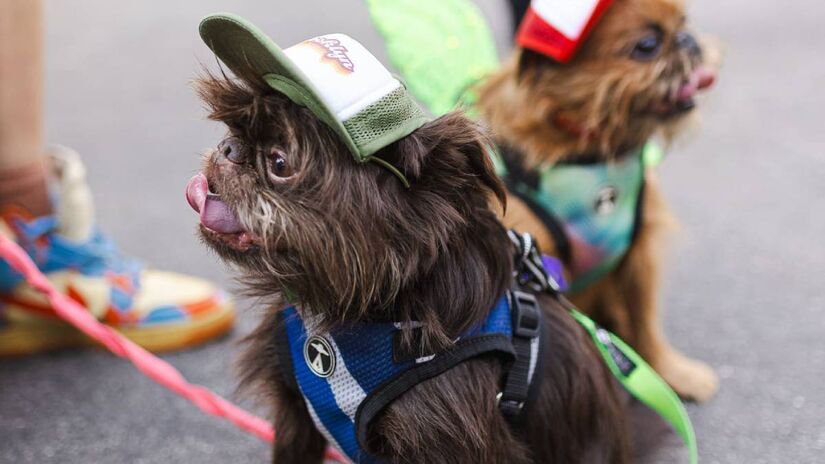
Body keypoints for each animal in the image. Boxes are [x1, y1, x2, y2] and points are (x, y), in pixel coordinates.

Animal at [476, 0, 720, 400]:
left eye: (685, 21)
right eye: (647, 46)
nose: (687, 39)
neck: (590, 146)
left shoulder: (638, 255)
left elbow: (646, 323)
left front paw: (673, 374)